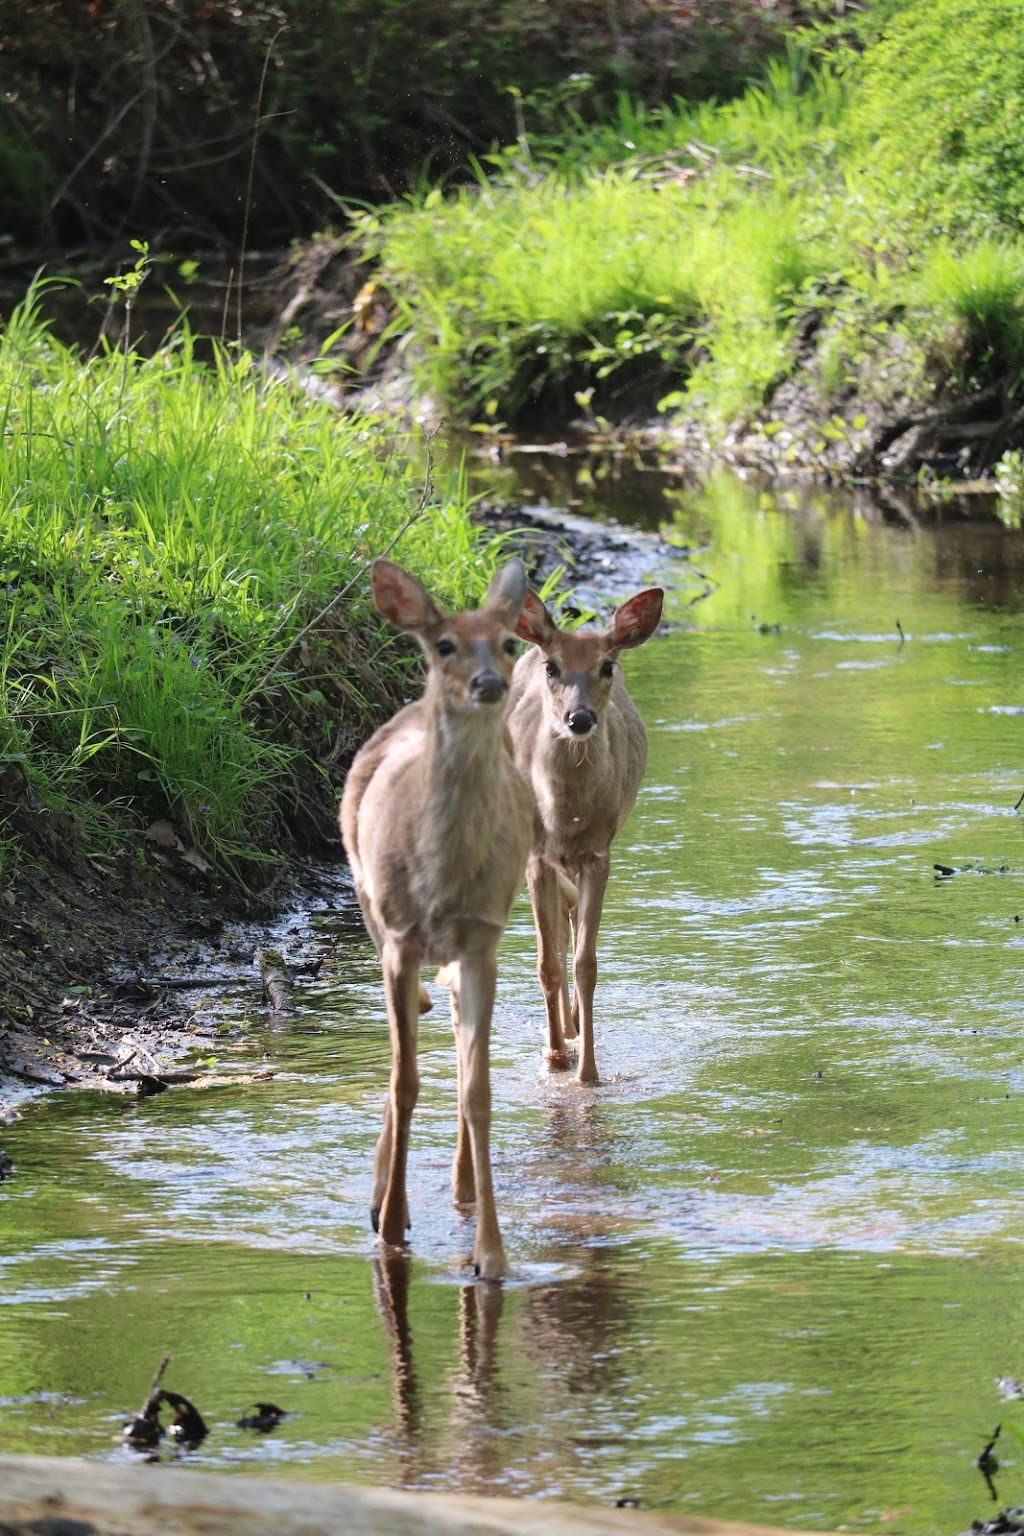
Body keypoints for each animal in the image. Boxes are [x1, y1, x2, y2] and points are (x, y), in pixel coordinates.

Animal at [342, 559, 537, 1277]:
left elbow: (477, 1090)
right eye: (444, 644)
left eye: (506, 642)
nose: (489, 684)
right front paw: (391, 1224)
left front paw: (491, 1254)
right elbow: (405, 1082)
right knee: (406, 1051)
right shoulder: (400, 937)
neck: (442, 879)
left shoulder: (482, 939)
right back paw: (378, 1196)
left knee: (451, 1037)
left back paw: (459, 1185)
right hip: (368, 907)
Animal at [509, 580, 669, 1087]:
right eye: (552, 666)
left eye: (606, 666)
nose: (579, 719)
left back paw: (575, 1024)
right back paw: (562, 1031)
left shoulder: (600, 855)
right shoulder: (536, 858)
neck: (567, 818)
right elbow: (547, 963)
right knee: (558, 936)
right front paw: (555, 1058)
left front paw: (587, 1073)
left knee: (572, 925)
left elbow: (587, 964)